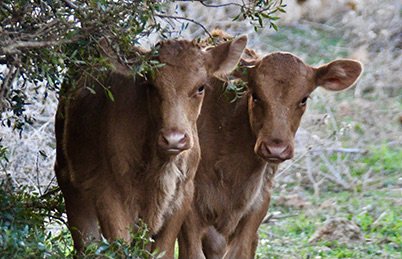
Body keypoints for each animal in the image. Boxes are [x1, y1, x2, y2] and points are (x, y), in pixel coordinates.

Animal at [54, 36, 247, 258]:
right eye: (151, 85)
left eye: (200, 87)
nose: (174, 139)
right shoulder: (108, 193)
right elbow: (120, 247)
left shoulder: (183, 196)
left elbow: (163, 250)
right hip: (69, 180)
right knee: (87, 243)